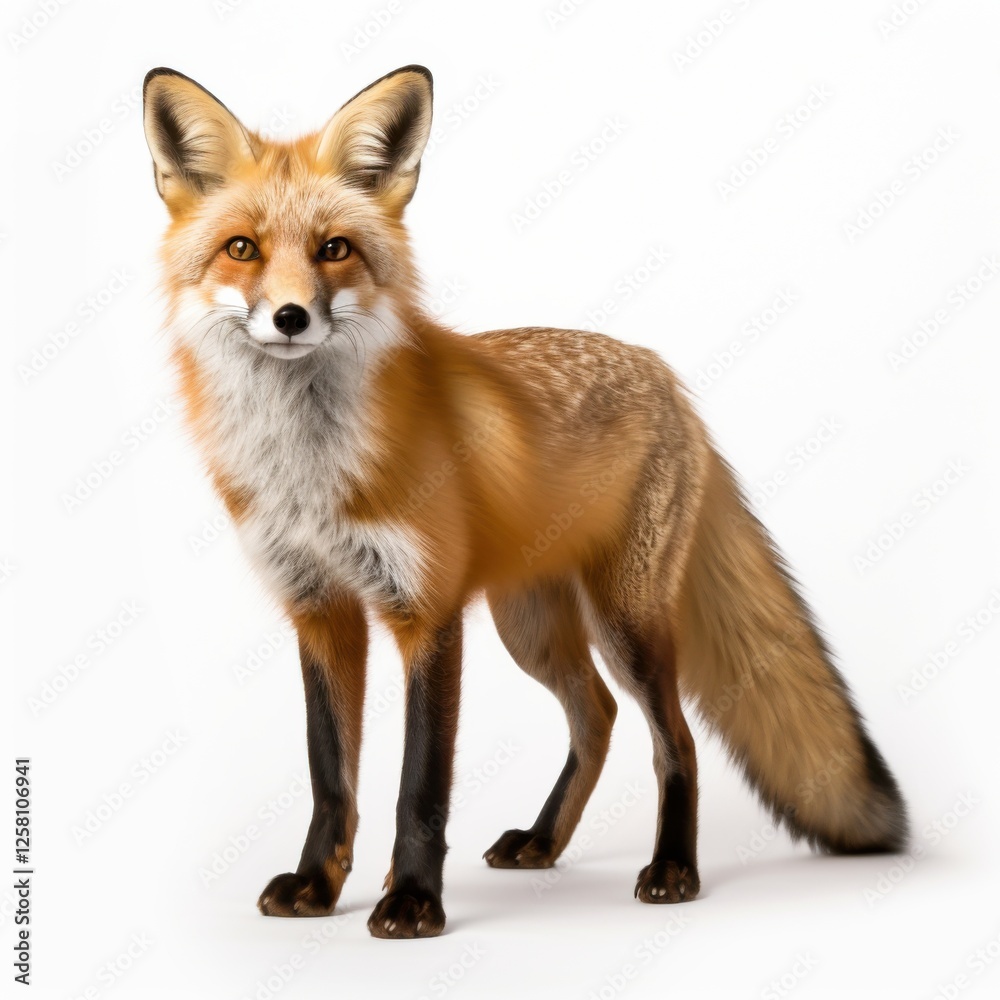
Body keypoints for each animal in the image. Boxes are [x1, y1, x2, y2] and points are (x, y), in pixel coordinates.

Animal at [142, 64, 908, 939]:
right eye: (242, 249)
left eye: (334, 249)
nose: (291, 317)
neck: (309, 472)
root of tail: (664, 374)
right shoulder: (320, 609)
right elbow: (330, 776)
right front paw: (317, 886)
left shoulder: (427, 611)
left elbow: (419, 786)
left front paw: (413, 901)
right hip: (532, 624)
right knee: (598, 717)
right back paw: (544, 842)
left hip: (626, 620)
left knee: (673, 738)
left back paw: (673, 869)